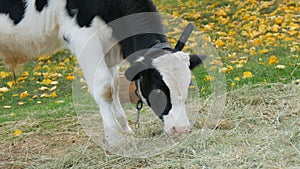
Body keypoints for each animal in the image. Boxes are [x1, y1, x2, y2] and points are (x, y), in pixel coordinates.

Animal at [0, 0, 204, 145]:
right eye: (157, 90)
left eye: (187, 87)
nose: (181, 129)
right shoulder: (83, 36)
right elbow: (105, 88)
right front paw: (115, 138)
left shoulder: (109, 47)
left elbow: (114, 86)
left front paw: (125, 130)